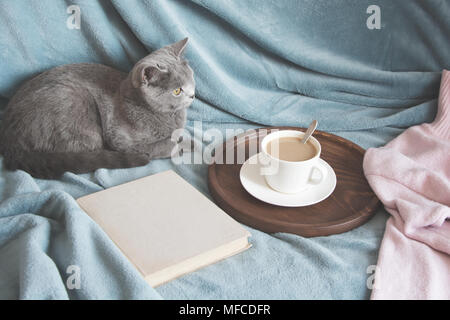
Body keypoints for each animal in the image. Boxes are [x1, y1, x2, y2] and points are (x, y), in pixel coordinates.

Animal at [0, 38, 195, 179]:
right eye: (177, 90)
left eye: (191, 78)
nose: (193, 95)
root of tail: (9, 143)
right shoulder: (121, 141)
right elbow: (164, 144)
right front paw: (186, 143)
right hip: (76, 101)